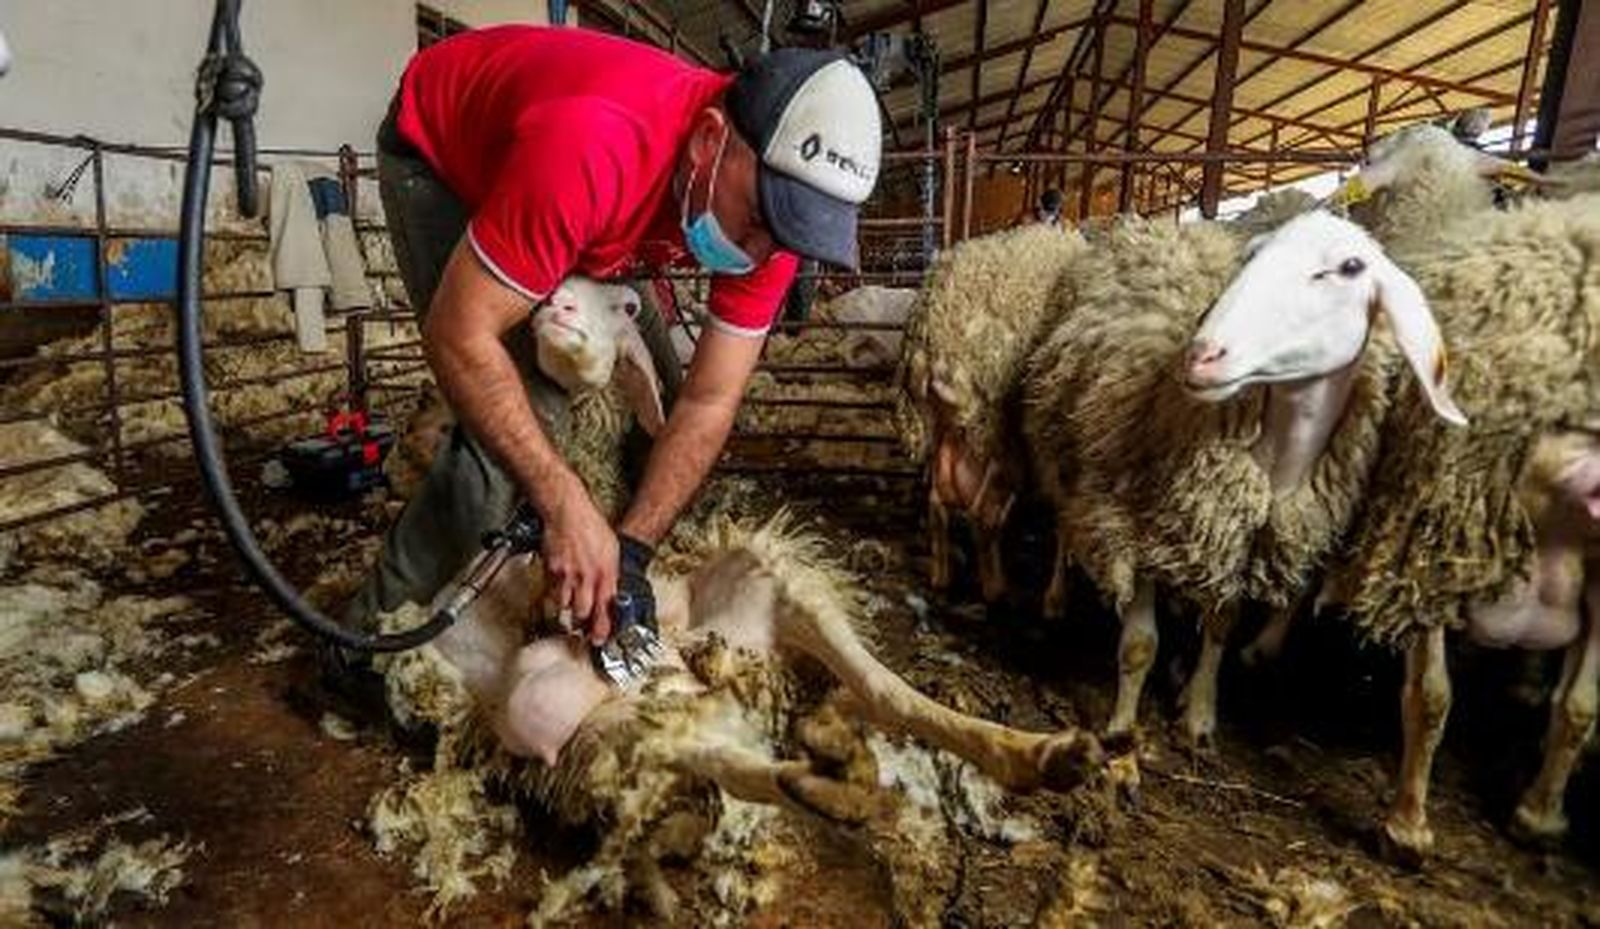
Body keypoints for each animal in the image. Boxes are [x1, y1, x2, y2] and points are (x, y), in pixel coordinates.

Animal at [895, 223, 1088, 601]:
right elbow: (1064, 523)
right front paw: (1056, 595)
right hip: (995, 431)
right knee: (983, 516)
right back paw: (997, 589)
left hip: (943, 428)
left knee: (937, 505)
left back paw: (942, 576)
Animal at [1020, 211, 1464, 751]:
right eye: (1253, 253)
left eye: (1350, 267)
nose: (1200, 354)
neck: (1273, 465)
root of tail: (1153, 224)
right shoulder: (1140, 529)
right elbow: (1140, 645)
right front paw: (1121, 724)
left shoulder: (1236, 548)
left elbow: (1220, 627)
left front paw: (1198, 712)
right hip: (1062, 435)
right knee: (1064, 519)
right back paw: (1056, 597)